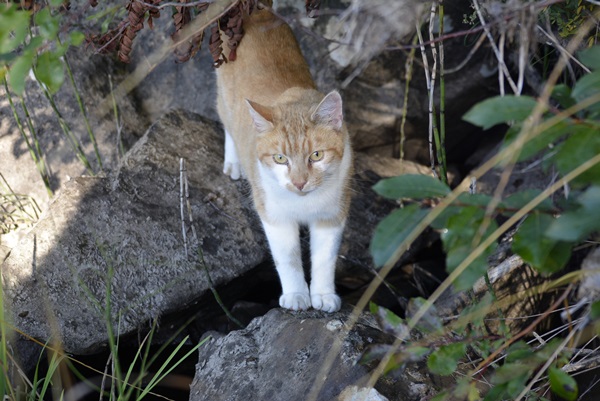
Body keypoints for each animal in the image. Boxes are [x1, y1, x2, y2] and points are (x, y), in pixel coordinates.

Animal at [216, 0, 354, 312]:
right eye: (280, 159)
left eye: (316, 155)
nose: (300, 182)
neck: (303, 204)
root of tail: (256, 12)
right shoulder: (275, 217)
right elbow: (288, 259)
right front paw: (295, 295)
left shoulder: (332, 215)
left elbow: (324, 259)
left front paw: (323, 295)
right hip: (225, 98)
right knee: (223, 115)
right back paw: (233, 161)